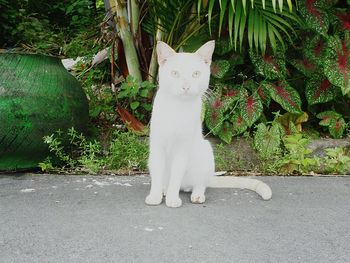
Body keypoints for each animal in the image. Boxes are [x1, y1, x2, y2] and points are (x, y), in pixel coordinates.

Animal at [145, 41, 274, 208]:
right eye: (175, 73)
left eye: (195, 74)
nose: (186, 86)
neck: (178, 108)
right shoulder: (157, 146)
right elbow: (157, 174)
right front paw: (155, 196)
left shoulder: (182, 148)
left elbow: (176, 174)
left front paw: (173, 199)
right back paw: (164, 190)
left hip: (204, 151)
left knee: (199, 184)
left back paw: (195, 194)